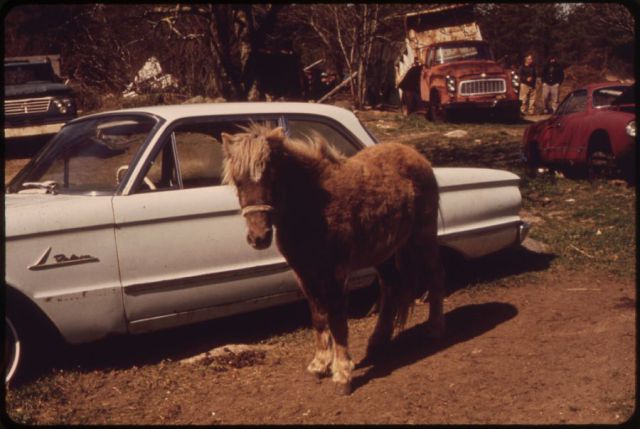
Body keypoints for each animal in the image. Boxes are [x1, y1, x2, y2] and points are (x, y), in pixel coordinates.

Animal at [222, 123, 442, 394]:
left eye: (271, 177)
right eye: (238, 181)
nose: (259, 237)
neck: (313, 206)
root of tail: (418, 156)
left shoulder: (335, 273)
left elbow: (337, 319)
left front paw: (342, 373)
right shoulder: (304, 273)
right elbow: (318, 316)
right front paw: (320, 364)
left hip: (423, 238)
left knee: (435, 275)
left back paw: (435, 328)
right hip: (384, 253)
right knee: (390, 287)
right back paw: (378, 340)